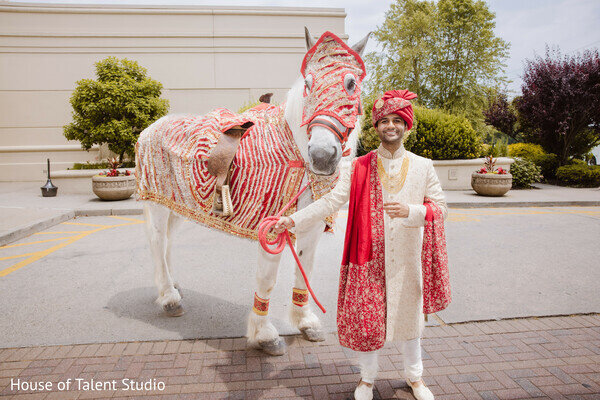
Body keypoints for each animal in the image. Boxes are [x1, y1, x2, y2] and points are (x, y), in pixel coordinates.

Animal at [138, 28, 368, 354]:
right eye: (308, 83)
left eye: (351, 83)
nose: (322, 155)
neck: (295, 150)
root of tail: (151, 127)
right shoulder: (270, 229)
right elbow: (267, 281)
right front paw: (264, 335)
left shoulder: (309, 227)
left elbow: (305, 271)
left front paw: (305, 321)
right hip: (157, 203)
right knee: (157, 242)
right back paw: (169, 298)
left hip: (176, 204)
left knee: (167, 243)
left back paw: (173, 285)